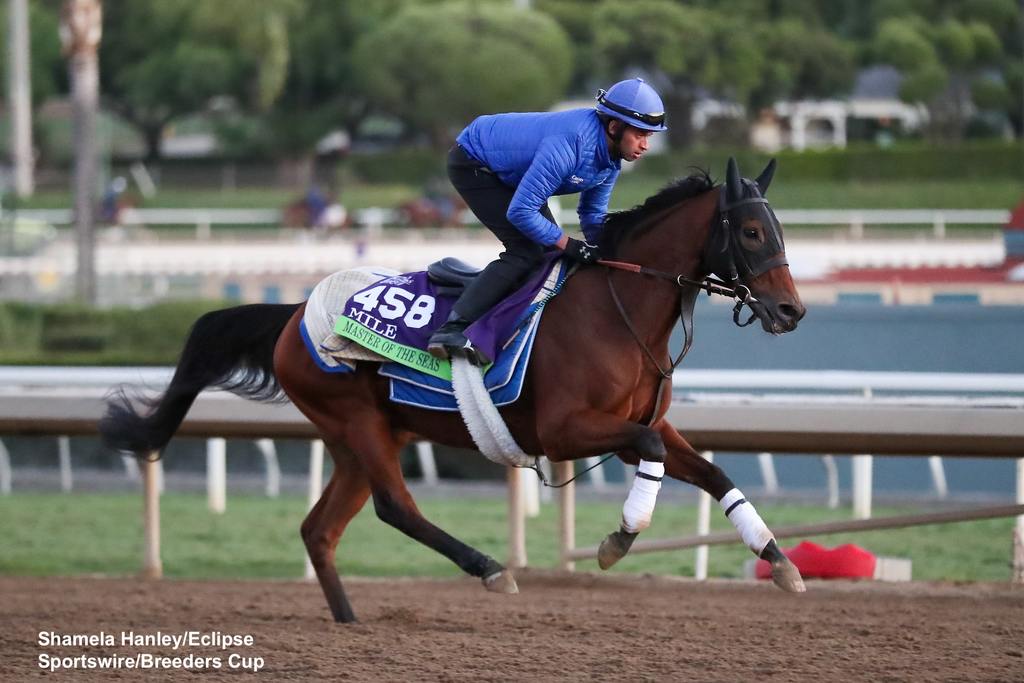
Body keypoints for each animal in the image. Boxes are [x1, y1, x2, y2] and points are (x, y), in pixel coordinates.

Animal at [99, 157, 802, 622]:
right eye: (750, 232)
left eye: (778, 229)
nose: (791, 311)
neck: (616, 308)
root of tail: (293, 311)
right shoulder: (564, 431)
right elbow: (653, 453)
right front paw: (618, 539)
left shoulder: (634, 429)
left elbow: (710, 471)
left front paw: (778, 558)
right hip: (356, 423)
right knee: (395, 508)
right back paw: (490, 571)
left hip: (364, 436)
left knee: (320, 530)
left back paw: (350, 621)